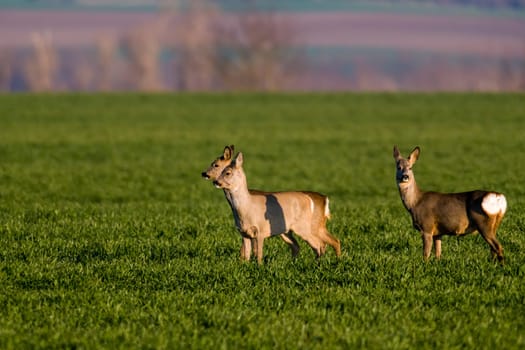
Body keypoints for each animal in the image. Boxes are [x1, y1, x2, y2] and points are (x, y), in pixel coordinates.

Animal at [212, 152, 340, 264]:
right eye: (221, 171)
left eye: (227, 172)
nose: (216, 182)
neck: (246, 207)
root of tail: (309, 198)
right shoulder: (243, 233)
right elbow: (247, 255)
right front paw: (245, 267)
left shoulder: (261, 230)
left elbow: (258, 254)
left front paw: (259, 267)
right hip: (288, 231)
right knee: (299, 246)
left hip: (304, 226)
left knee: (320, 244)